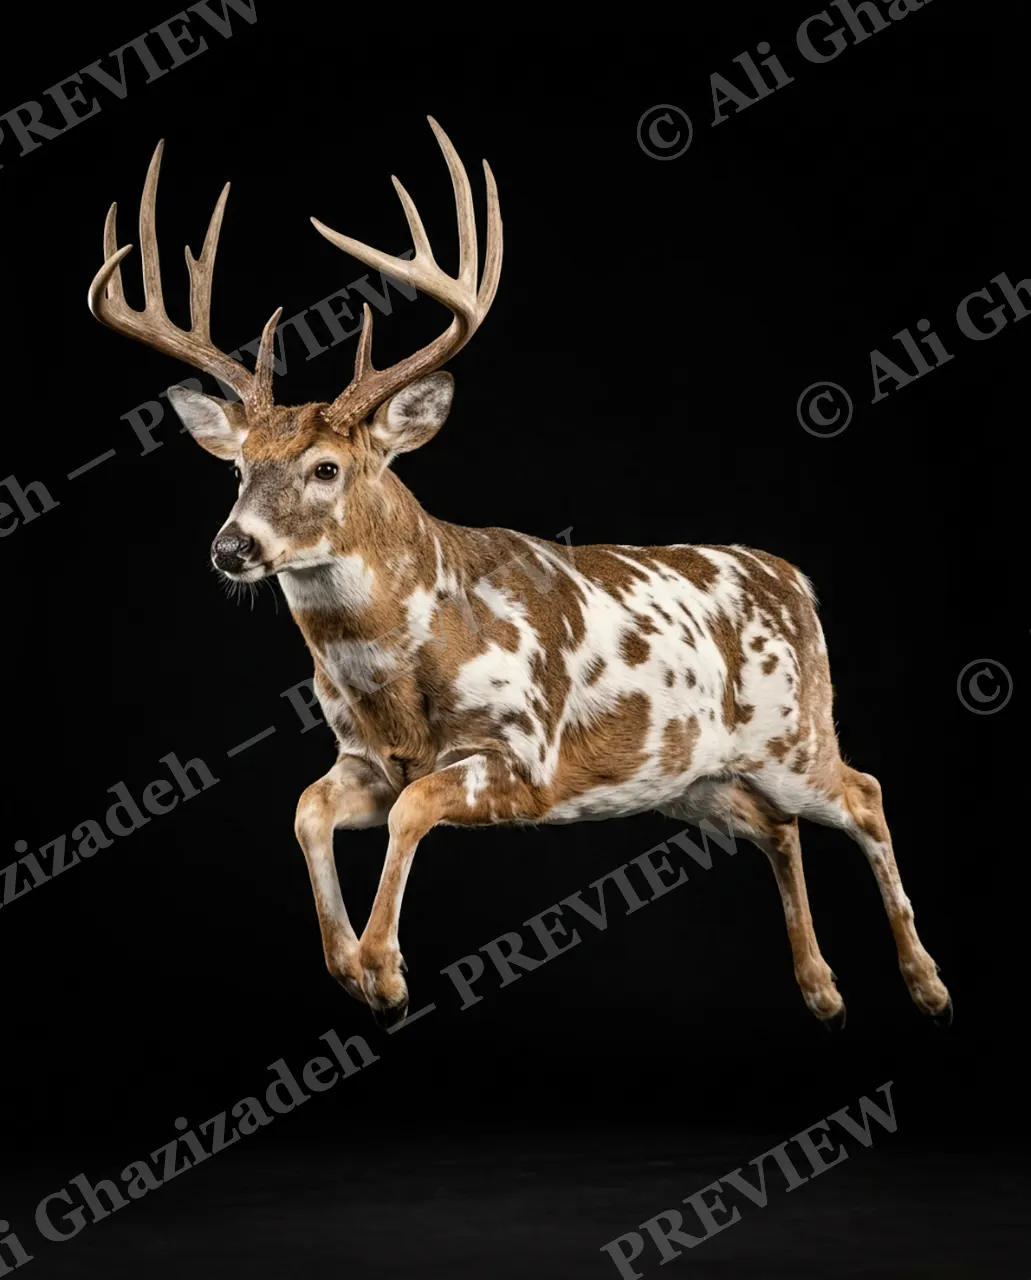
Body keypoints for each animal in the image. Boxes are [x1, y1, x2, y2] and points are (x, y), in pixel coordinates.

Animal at [87, 119, 952, 1031]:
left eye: (325, 468)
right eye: (238, 468)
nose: (231, 548)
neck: (402, 674)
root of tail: (796, 582)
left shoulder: (526, 753)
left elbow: (412, 808)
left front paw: (383, 969)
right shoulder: (364, 758)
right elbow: (308, 809)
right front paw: (350, 964)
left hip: (794, 732)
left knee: (863, 793)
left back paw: (926, 984)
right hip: (694, 775)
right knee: (777, 825)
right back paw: (822, 991)